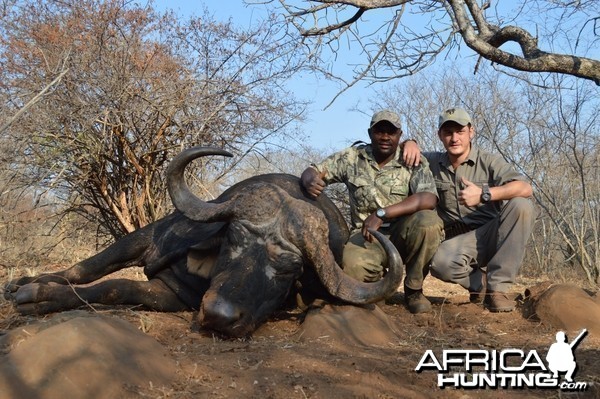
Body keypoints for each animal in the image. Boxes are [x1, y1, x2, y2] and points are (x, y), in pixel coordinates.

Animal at [4, 147, 404, 338]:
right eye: (232, 241)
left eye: (289, 270)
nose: (218, 315)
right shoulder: (148, 236)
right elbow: (87, 268)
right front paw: (30, 285)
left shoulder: (174, 296)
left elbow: (117, 288)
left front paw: (40, 297)